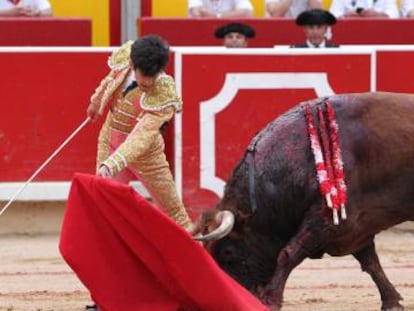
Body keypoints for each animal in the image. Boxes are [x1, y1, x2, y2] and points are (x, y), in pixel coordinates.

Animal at [194, 92, 414, 311]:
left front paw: (270, 300)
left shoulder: (328, 220)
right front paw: (392, 301)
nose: (232, 298)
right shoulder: (355, 228)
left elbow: (288, 254)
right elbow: (371, 263)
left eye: (228, 252)